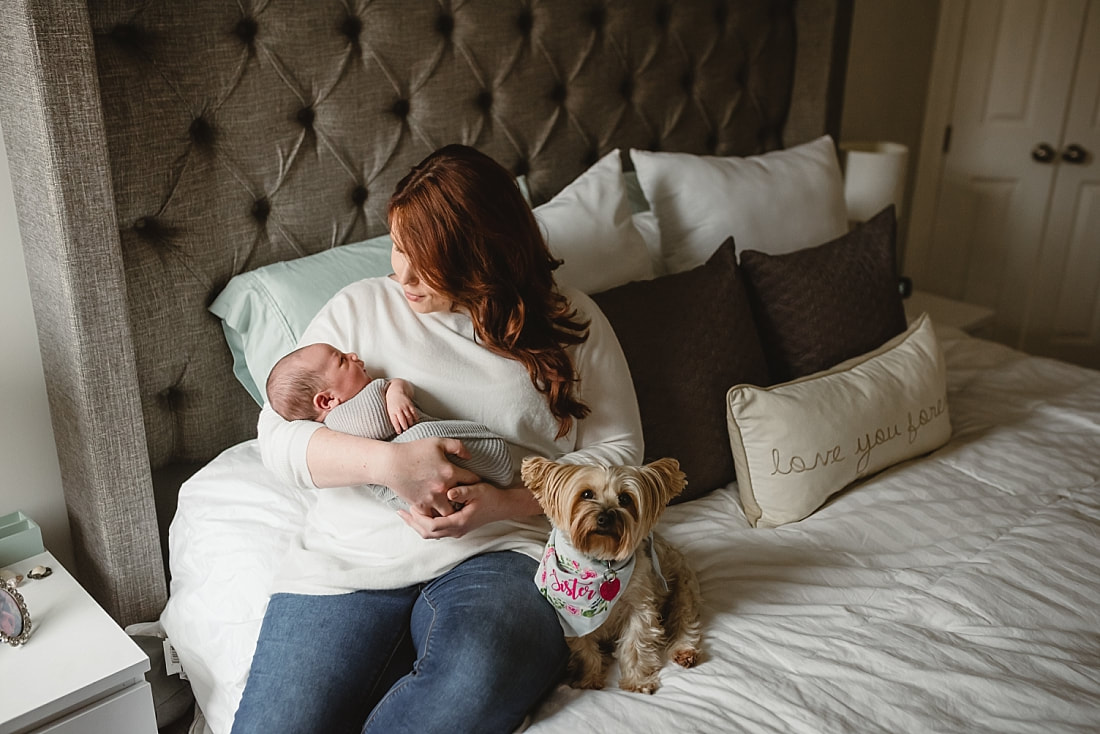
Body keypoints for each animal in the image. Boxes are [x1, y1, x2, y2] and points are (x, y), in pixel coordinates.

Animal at [519, 453, 699, 695]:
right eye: (586, 494)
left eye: (625, 499)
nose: (605, 517)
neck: (601, 561)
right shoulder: (572, 620)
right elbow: (585, 650)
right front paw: (588, 679)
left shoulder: (639, 605)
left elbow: (635, 644)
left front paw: (637, 682)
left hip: (683, 587)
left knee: (684, 620)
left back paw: (684, 650)